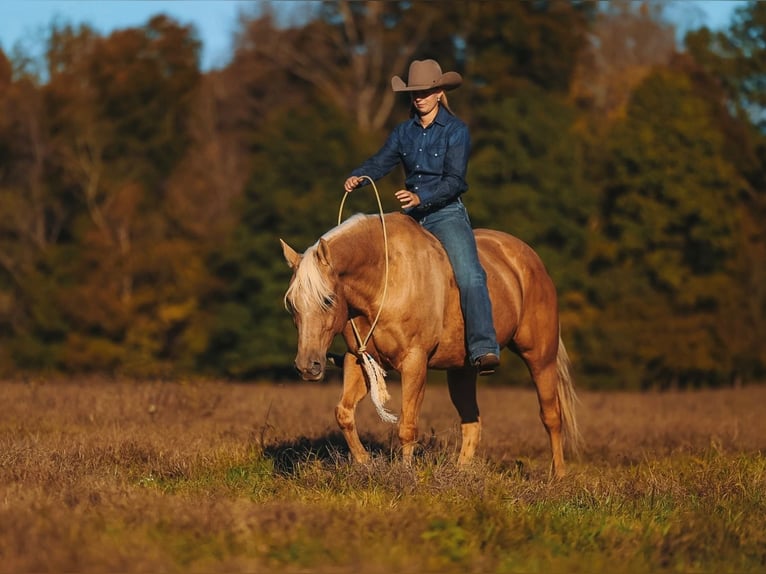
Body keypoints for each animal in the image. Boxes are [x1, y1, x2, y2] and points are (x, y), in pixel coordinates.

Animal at [280, 212, 581, 478]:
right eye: (291, 304)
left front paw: (404, 475)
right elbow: (343, 413)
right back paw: (461, 475)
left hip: (540, 357)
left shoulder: (414, 362)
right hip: (462, 371)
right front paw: (365, 463)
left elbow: (407, 425)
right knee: (472, 422)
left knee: (551, 416)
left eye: (328, 299)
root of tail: (530, 260)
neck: (385, 277)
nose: (307, 366)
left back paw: (558, 477)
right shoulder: (359, 359)